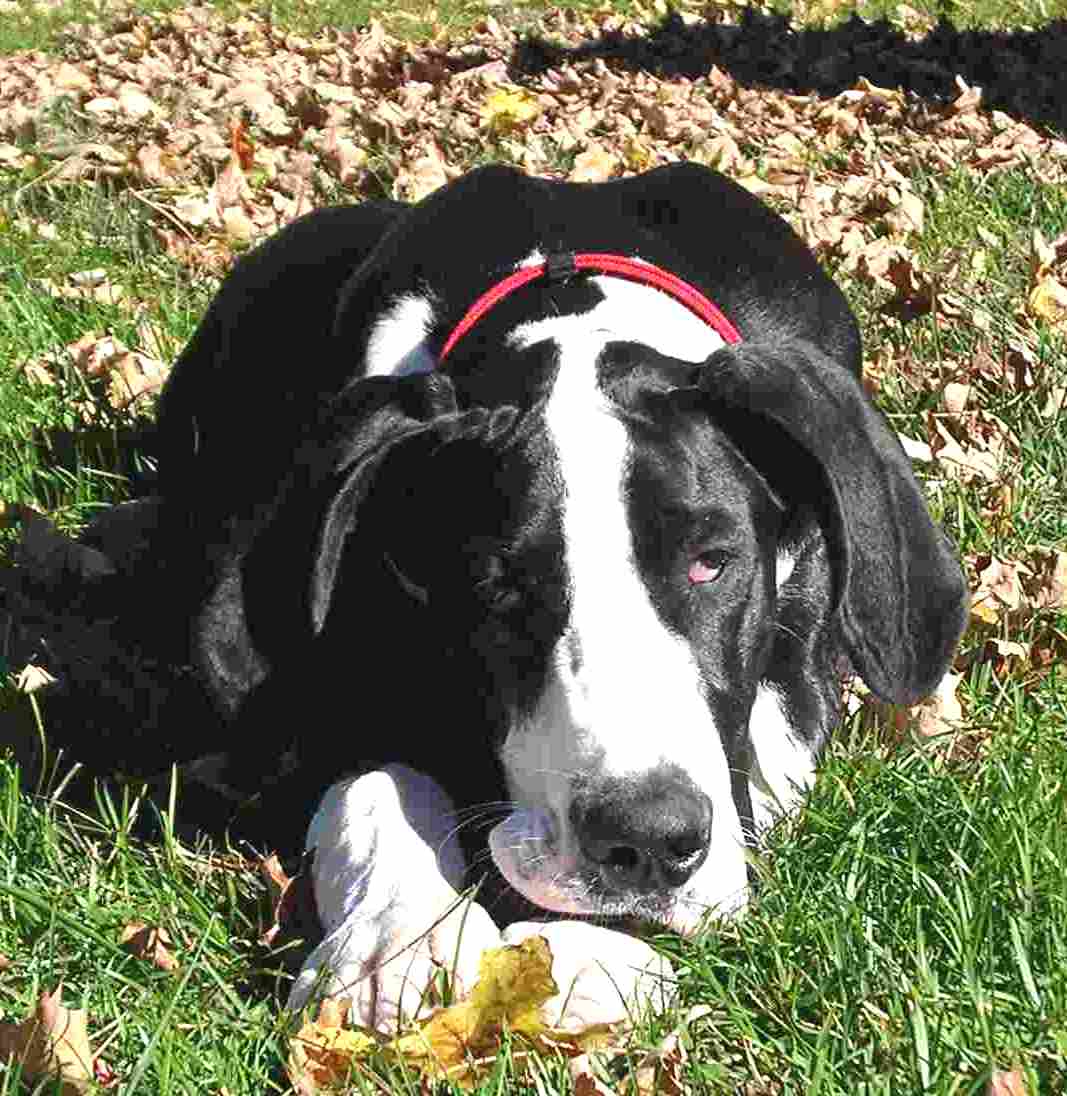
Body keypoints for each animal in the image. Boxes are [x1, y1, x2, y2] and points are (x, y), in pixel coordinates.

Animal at [108, 163, 968, 1022]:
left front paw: (584, 957)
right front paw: (395, 942)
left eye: (710, 563)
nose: (644, 842)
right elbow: (377, 780)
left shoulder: (795, 684)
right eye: (497, 582)